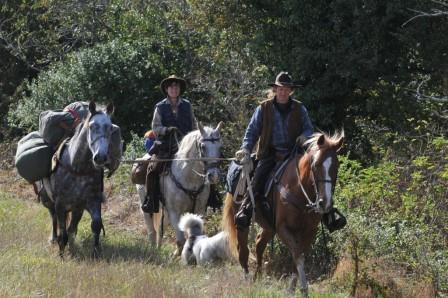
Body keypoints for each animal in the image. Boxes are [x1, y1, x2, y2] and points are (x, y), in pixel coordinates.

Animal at [40, 102, 120, 256]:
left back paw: (71, 247)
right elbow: (63, 232)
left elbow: (96, 225)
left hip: (77, 209)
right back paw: (53, 239)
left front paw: (95, 252)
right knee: (54, 218)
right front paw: (61, 254)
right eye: (91, 126)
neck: (77, 168)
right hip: (49, 200)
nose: (100, 157)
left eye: (110, 127)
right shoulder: (60, 204)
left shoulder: (91, 202)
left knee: (72, 227)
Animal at [135, 122, 222, 253]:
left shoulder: (199, 211)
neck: (189, 177)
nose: (214, 175)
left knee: (160, 229)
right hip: (147, 207)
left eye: (219, 146)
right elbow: (181, 240)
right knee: (152, 229)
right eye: (203, 146)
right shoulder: (174, 212)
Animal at [222, 132, 344, 294]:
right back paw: (247, 279)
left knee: (259, 244)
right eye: (316, 165)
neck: (299, 189)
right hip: (243, 222)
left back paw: (258, 276)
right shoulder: (283, 229)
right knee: (243, 250)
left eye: (336, 166)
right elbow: (298, 255)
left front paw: (292, 288)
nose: (325, 203)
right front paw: (303, 288)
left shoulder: (309, 231)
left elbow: (297, 255)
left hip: (269, 226)